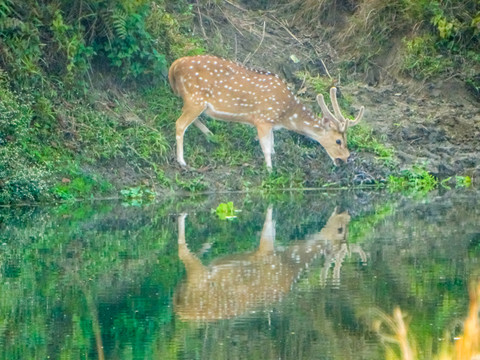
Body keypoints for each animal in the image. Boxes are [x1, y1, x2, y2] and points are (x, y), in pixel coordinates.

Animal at [168, 54, 364, 170]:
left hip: (193, 100)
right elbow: (266, 147)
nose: (345, 158)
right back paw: (182, 161)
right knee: (179, 123)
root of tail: (174, 65)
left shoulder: (270, 125)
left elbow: (272, 144)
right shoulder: (262, 119)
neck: (285, 115)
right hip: (196, 98)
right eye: (338, 141)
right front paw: (269, 170)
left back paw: (210, 135)